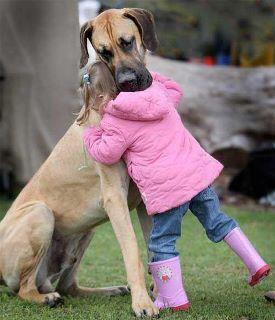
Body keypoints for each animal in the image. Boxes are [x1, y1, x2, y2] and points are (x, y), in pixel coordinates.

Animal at [0, 8, 160, 318]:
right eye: (103, 52)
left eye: (127, 42)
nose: (127, 82)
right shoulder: (114, 197)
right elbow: (133, 251)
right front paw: (143, 303)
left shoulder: (145, 200)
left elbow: (155, 248)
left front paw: (161, 293)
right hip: (40, 214)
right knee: (25, 289)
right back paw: (45, 299)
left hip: (87, 230)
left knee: (68, 286)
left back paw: (107, 290)